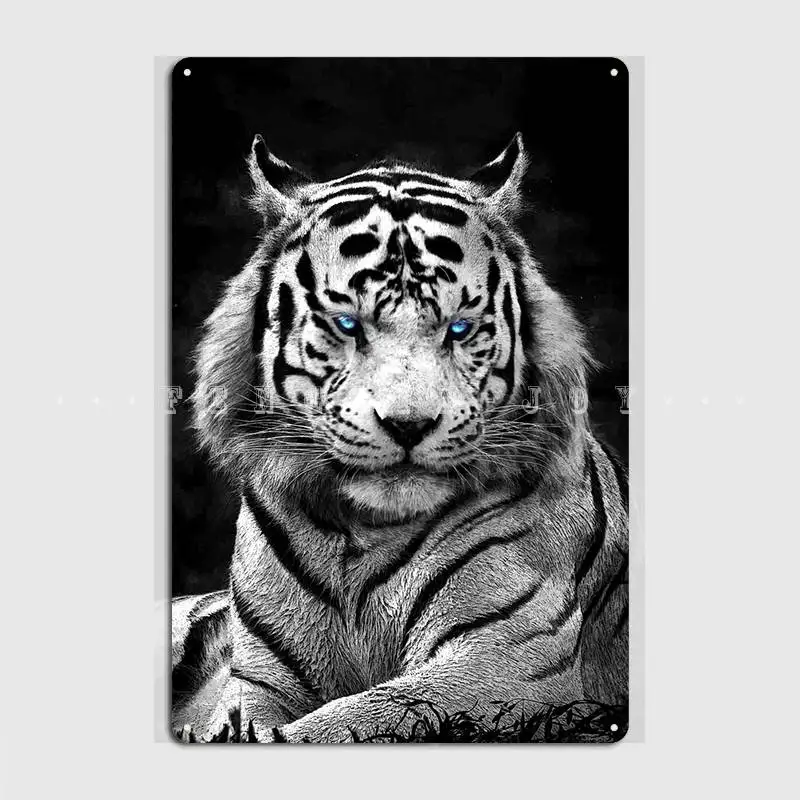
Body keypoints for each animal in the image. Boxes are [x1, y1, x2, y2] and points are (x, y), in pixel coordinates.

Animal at [171, 132, 629, 743]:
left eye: (459, 327)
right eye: (346, 324)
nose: (409, 424)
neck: (361, 537)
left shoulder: (505, 661)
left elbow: (357, 717)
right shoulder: (259, 680)